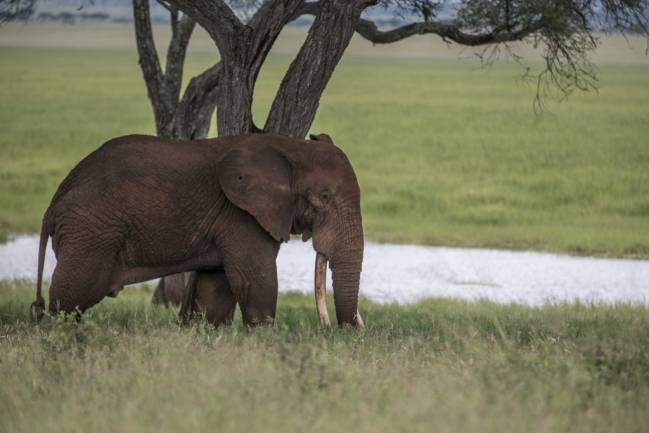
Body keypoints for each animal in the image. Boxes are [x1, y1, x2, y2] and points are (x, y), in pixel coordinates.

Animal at [32, 133, 364, 327]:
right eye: (324, 197)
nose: (339, 331)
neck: (291, 146)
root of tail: (53, 204)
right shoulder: (241, 214)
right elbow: (255, 280)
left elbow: (216, 287)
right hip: (90, 232)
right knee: (70, 298)